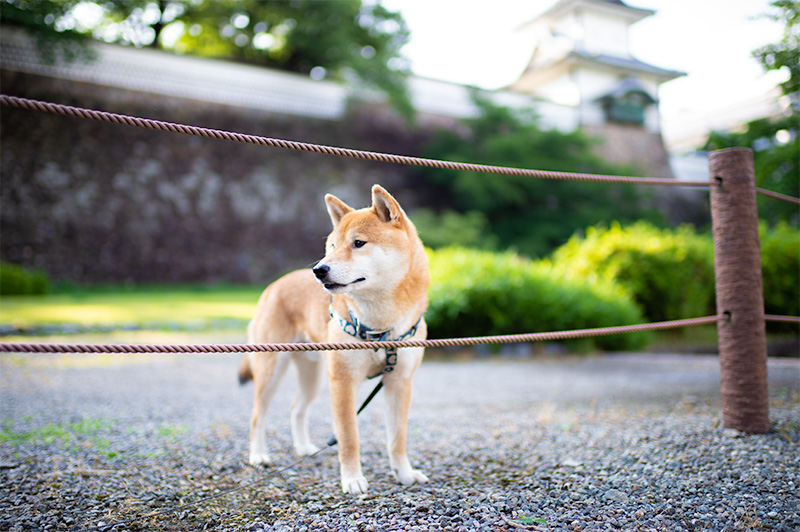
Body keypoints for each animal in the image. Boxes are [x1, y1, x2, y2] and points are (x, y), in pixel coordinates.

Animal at [241, 184, 432, 494]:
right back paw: (258, 455)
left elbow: (397, 438)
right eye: (332, 246)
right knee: (258, 415)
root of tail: (274, 286)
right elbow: (349, 437)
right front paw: (352, 479)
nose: (319, 270)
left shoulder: (400, 381)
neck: (381, 324)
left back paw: (304, 448)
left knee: (297, 409)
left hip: (314, 377)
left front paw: (404, 473)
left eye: (358, 243)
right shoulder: (344, 382)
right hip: (272, 370)